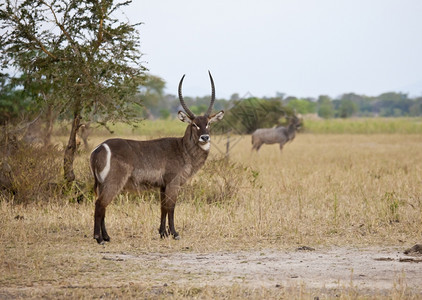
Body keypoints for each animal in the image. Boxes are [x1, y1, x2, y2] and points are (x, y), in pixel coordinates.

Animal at [89, 72, 224, 244]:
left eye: (208, 123)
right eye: (194, 124)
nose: (205, 137)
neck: (183, 149)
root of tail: (99, 148)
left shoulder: (162, 185)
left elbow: (162, 208)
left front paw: (162, 233)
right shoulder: (173, 182)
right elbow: (171, 207)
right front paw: (174, 233)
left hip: (101, 183)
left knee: (103, 206)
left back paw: (106, 237)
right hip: (113, 182)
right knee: (100, 204)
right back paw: (98, 238)